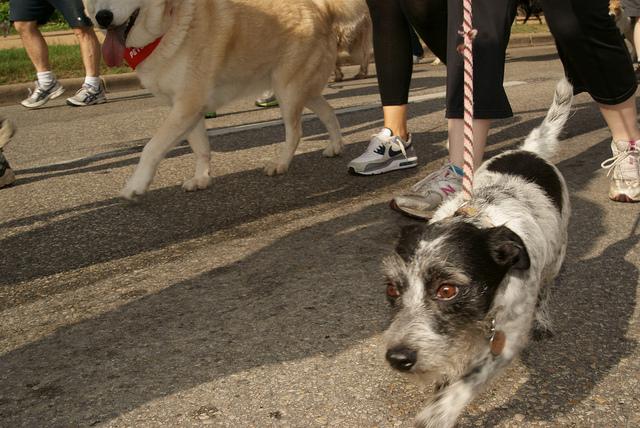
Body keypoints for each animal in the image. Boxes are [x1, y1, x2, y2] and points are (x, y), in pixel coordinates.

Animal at [82, 0, 360, 200]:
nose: (103, 17)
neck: (169, 26)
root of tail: (320, 6)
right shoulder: (188, 110)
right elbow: (201, 148)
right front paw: (202, 179)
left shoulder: (186, 105)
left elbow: (151, 147)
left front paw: (136, 184)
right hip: (304, 91)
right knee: (329, 112)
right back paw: (336, 146)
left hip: (287, 91)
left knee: (296, 132)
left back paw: (281, 163)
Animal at [382, 79, 572, 428]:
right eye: (392, 289)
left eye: (447, 290)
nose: (398, 358)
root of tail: (530, 150)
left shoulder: (506, 339)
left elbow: (466, 383)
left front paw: (438, 414)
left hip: (557, 255)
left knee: (547, 287)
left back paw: (543, 318)